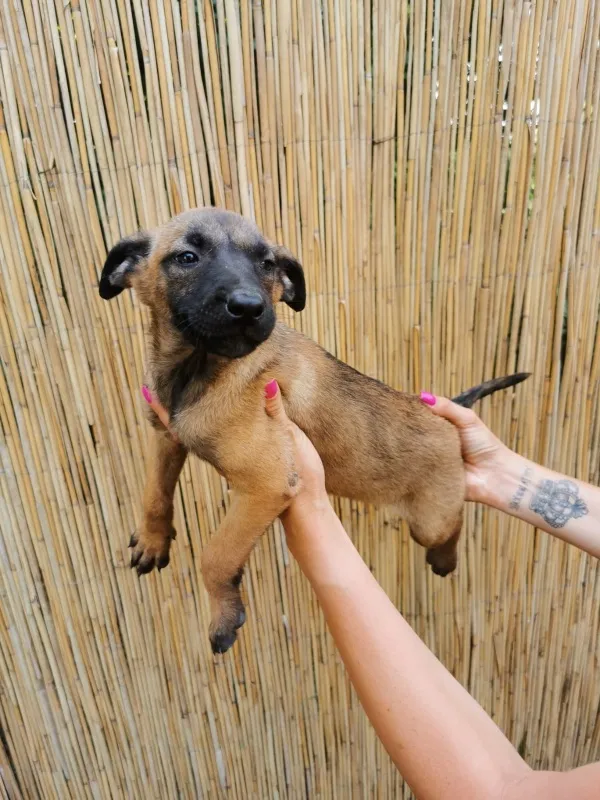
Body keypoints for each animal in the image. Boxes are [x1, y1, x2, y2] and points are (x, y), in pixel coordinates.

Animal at [99, 208, 529, 654]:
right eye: (187, 257)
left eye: (267, 264)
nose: (249, 307)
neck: (199, 370)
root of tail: (445, 419)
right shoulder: (166, 436)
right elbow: (154, 492)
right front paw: (152, 539)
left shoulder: (265, 481)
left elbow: (215, 554)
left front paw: (223, 616)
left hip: (431, 521)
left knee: (453, 525)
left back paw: (445, 561)